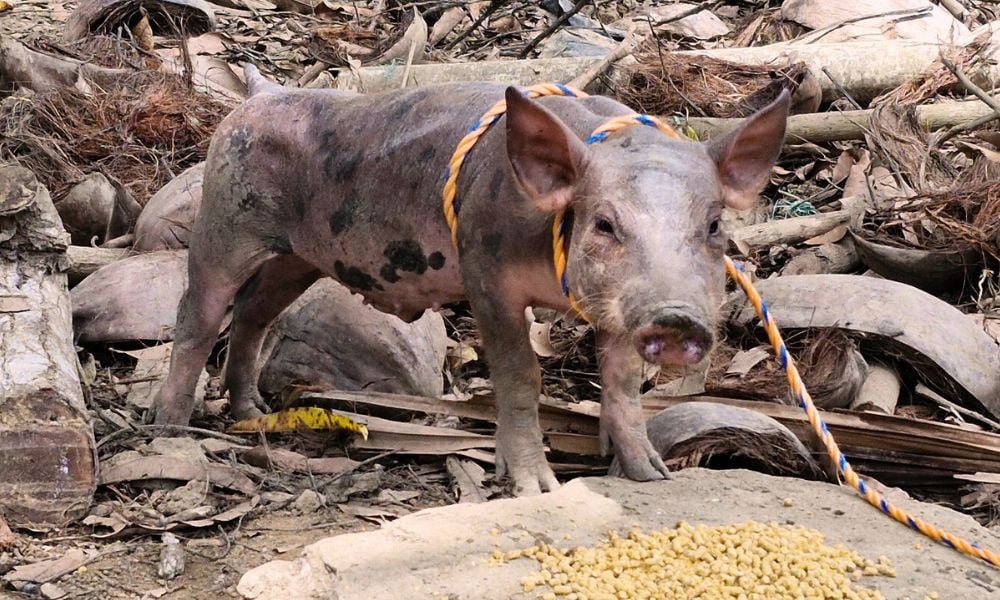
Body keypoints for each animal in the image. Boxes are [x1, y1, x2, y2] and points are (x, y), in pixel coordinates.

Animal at [149, 65, 789, 496]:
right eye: (605, 223)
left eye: (713, 225)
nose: (676, 319)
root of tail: (259, 95)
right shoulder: (486, 273)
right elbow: (519, 376)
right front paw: (535, 488)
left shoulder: (614, 312)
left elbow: (624, 383)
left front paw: (651, 477)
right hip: (222, 219)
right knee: (197, 314)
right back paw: (171, 428)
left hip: (296, 258)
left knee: (255, 311)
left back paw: (250, 411)